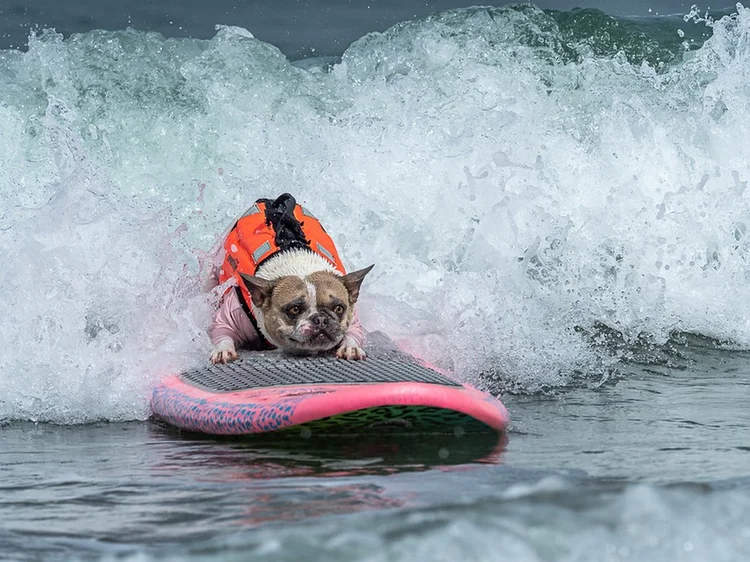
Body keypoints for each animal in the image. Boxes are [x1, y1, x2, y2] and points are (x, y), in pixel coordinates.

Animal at [209, 192, 374, 364]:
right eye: (294, 309)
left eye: (339, 308)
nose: (321, 319)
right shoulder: (233, 313)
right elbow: (222, 329)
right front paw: (223, 350)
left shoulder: (352, 316)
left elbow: (353, 330)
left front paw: (350, 347)